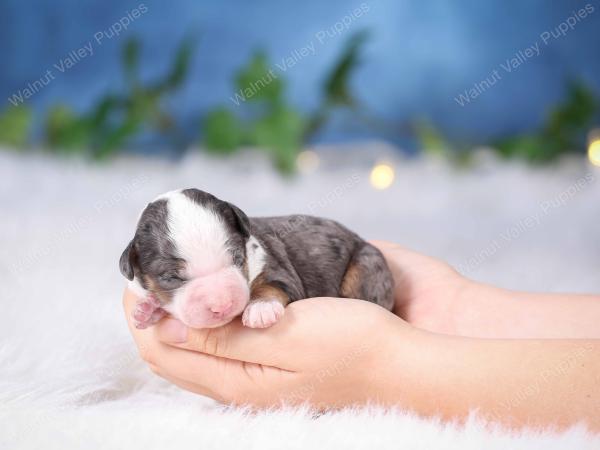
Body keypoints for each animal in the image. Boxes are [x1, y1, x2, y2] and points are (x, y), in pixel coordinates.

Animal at [120, 188, 396, 328]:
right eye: (171, 278)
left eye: (237, 257)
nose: (222, 305)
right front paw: (146, 312)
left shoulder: (279, 269)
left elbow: (271, 285)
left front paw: (260, 309)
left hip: (366, 265)